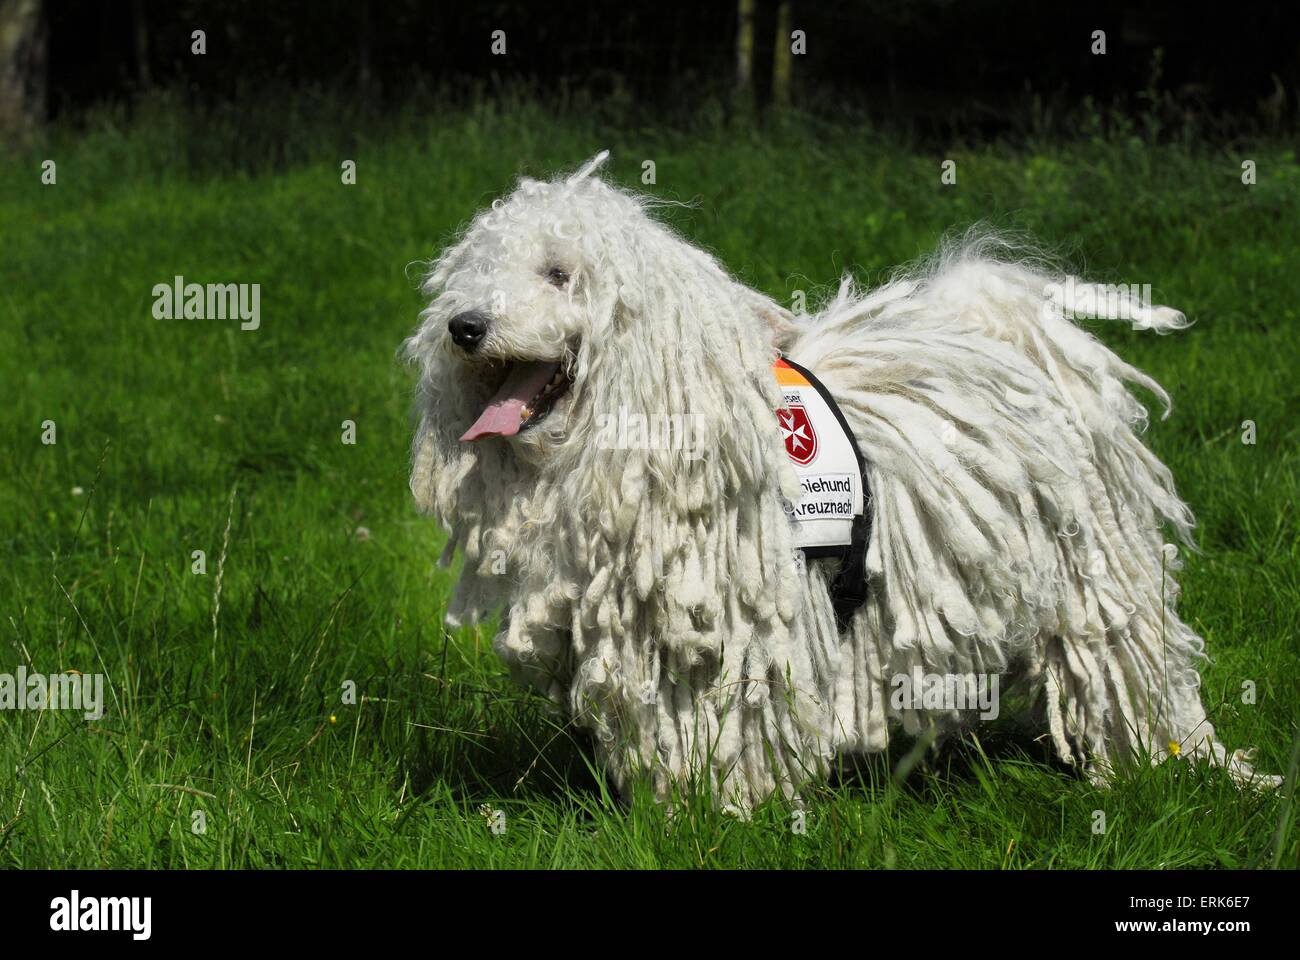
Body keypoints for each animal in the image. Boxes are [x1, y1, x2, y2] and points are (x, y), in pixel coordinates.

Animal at [403, 151, 1268, 806]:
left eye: (558, 274)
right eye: (475, 271)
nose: (465, 326)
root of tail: (1025, 343)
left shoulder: (749, 625)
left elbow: (738, 717)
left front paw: (725, 810)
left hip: (1093, 575)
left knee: (1129, 665)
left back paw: (1175, 765)